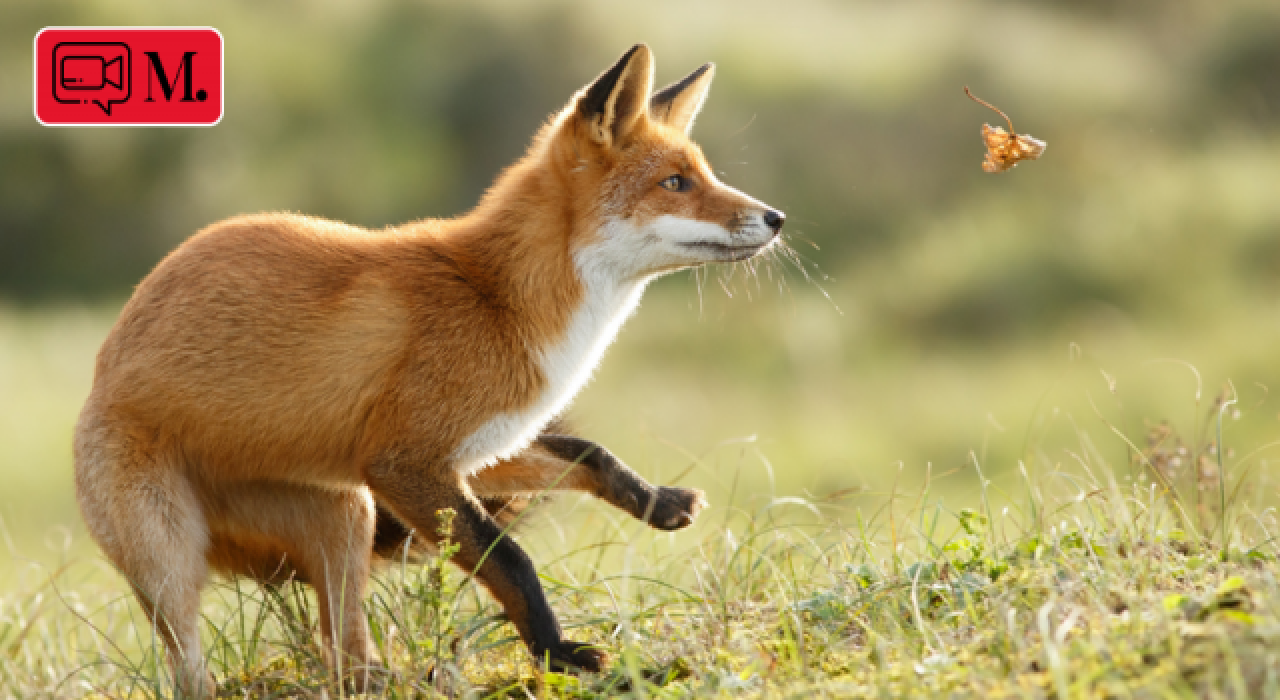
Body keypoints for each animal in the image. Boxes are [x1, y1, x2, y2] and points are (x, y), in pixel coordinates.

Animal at [74, 43, 783, 696]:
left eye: (704, 173)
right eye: (676, 183)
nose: (777, 217)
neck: (500, 300)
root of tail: (101, 370)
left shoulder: (471, 449)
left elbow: (588, 454)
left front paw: (657, 501)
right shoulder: (404, 462)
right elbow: (512, 560)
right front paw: (558, 656)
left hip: (347, 518)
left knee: (345, 660)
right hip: (174, 562)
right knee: (191, 672)